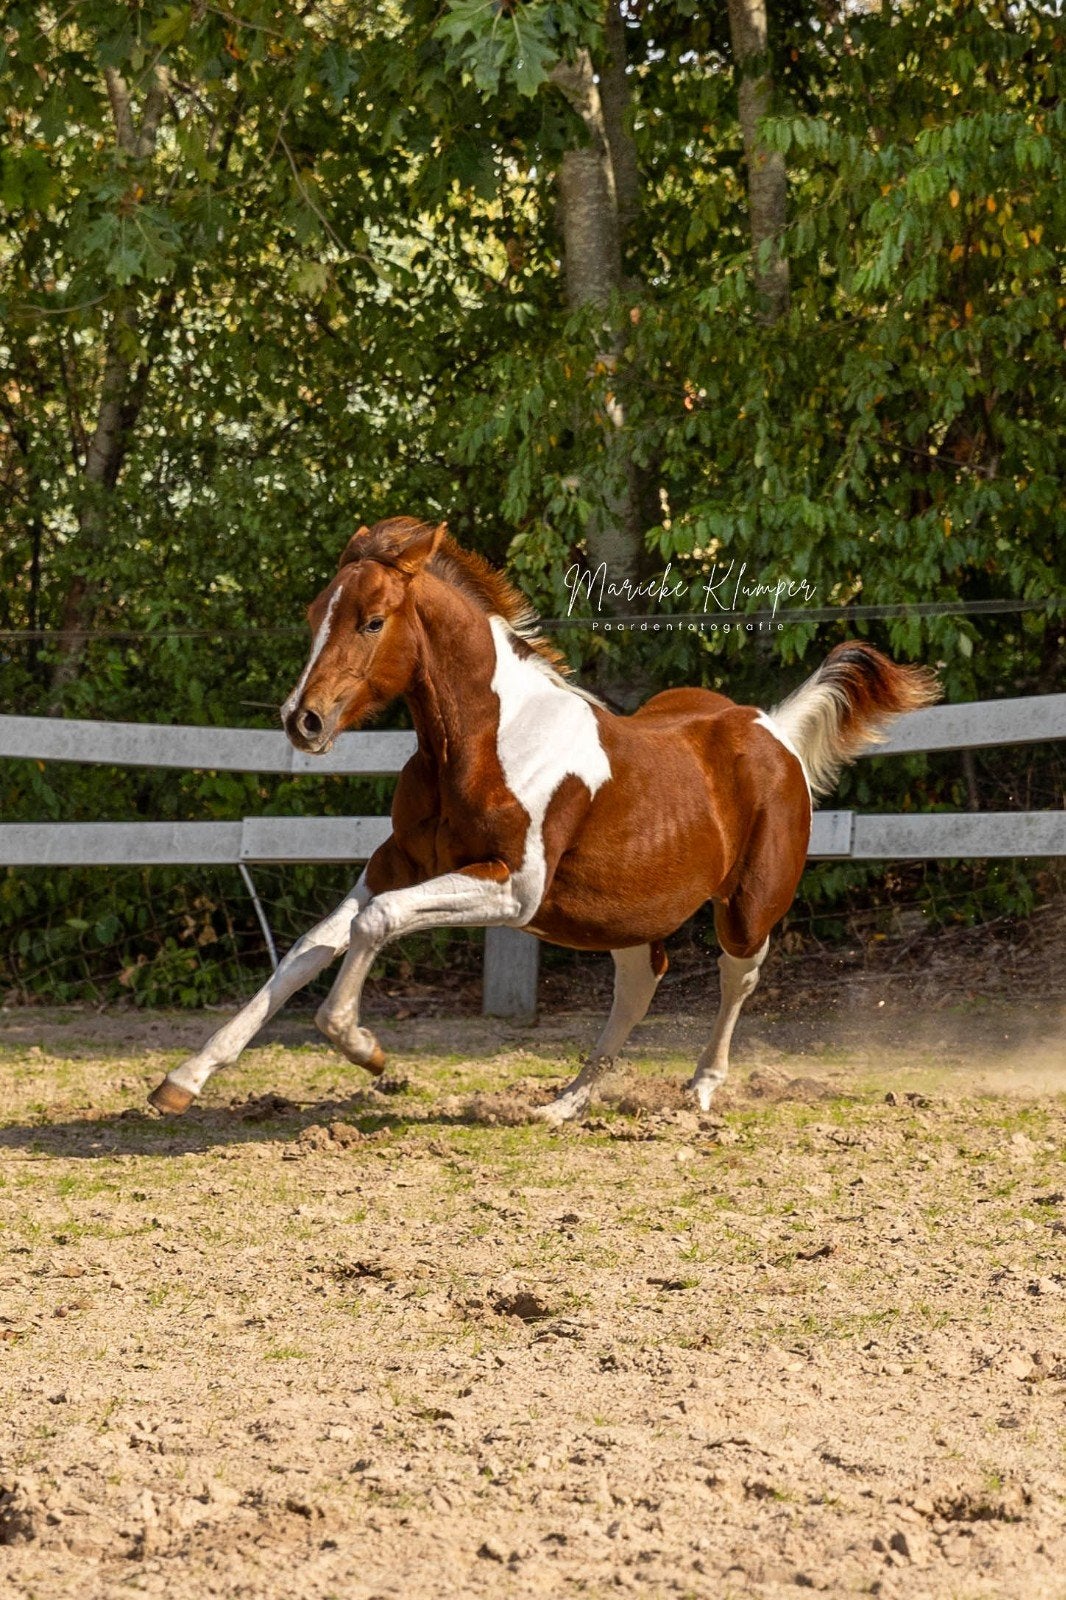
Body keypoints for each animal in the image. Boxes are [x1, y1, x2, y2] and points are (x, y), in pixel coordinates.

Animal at [148, 515, 939, 1122]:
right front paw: (182, 1080)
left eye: (372, 621)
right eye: (316, 616)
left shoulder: (513, 889)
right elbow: (310, 946)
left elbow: (376, 925)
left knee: (734, 976)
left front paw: (362, 1046)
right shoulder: (396, 865)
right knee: (640, 983)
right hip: (625, 918)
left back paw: (698, 1091)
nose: (302, 722)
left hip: (745, 908)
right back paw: (565, 1102)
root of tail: (771, 728)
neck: (481, 745)